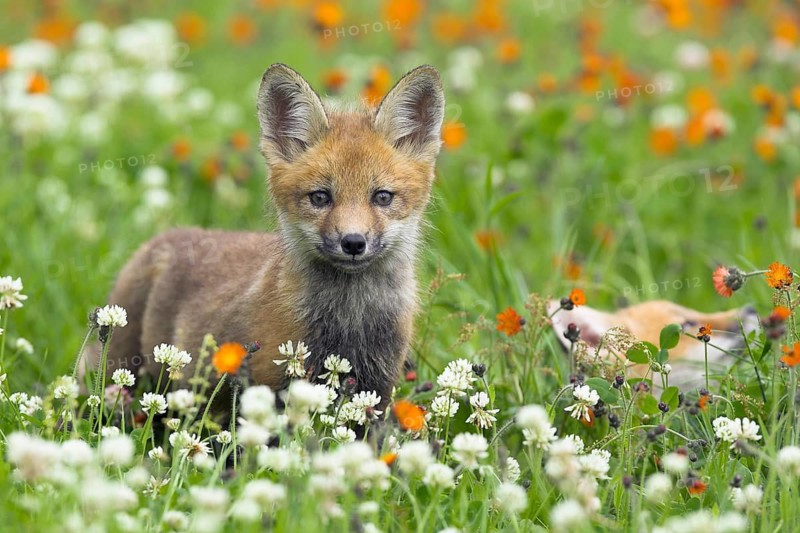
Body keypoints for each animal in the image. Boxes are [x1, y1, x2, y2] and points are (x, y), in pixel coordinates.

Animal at [79, 64, 446, 406]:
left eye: (382, 197)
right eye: (320, 197)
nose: (353, 242)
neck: (349, 320)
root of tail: (161, 238)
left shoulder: (377, 388)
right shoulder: (272, 381)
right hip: (118, 366)